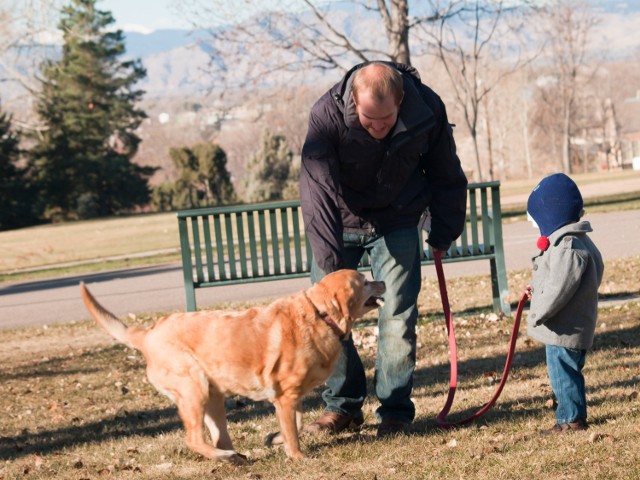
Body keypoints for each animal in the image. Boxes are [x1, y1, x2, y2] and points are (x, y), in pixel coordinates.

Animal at [77, 270, 382, 462]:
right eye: (364, 281)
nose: (381, 281)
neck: (320, 314)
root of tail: (147, 334)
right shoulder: (285, 397)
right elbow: (293, 432)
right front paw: (297, 456)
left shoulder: (291, 398)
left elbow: (294, 424)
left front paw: (276, 440)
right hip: (194, 389)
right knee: (194, 440)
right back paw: (224, 456)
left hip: (212, 397)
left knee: (219, 439)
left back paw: (234, 457)